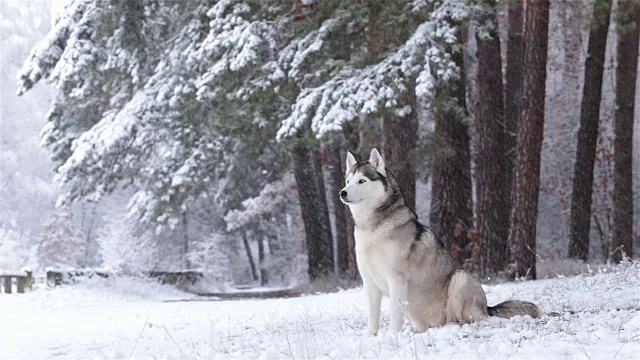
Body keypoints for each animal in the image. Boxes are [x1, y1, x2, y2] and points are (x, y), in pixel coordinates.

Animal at [340, 148, 540, 334]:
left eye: (362, 181)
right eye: (348, 181)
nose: (342, 192)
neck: (373, 229)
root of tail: (487, 308)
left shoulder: (396, 280)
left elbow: (395, 314)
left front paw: (393, 335)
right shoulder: (369, 282)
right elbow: (373, 316)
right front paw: (371, 336)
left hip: (461, 279)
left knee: (468, 320)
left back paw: (452, 325)